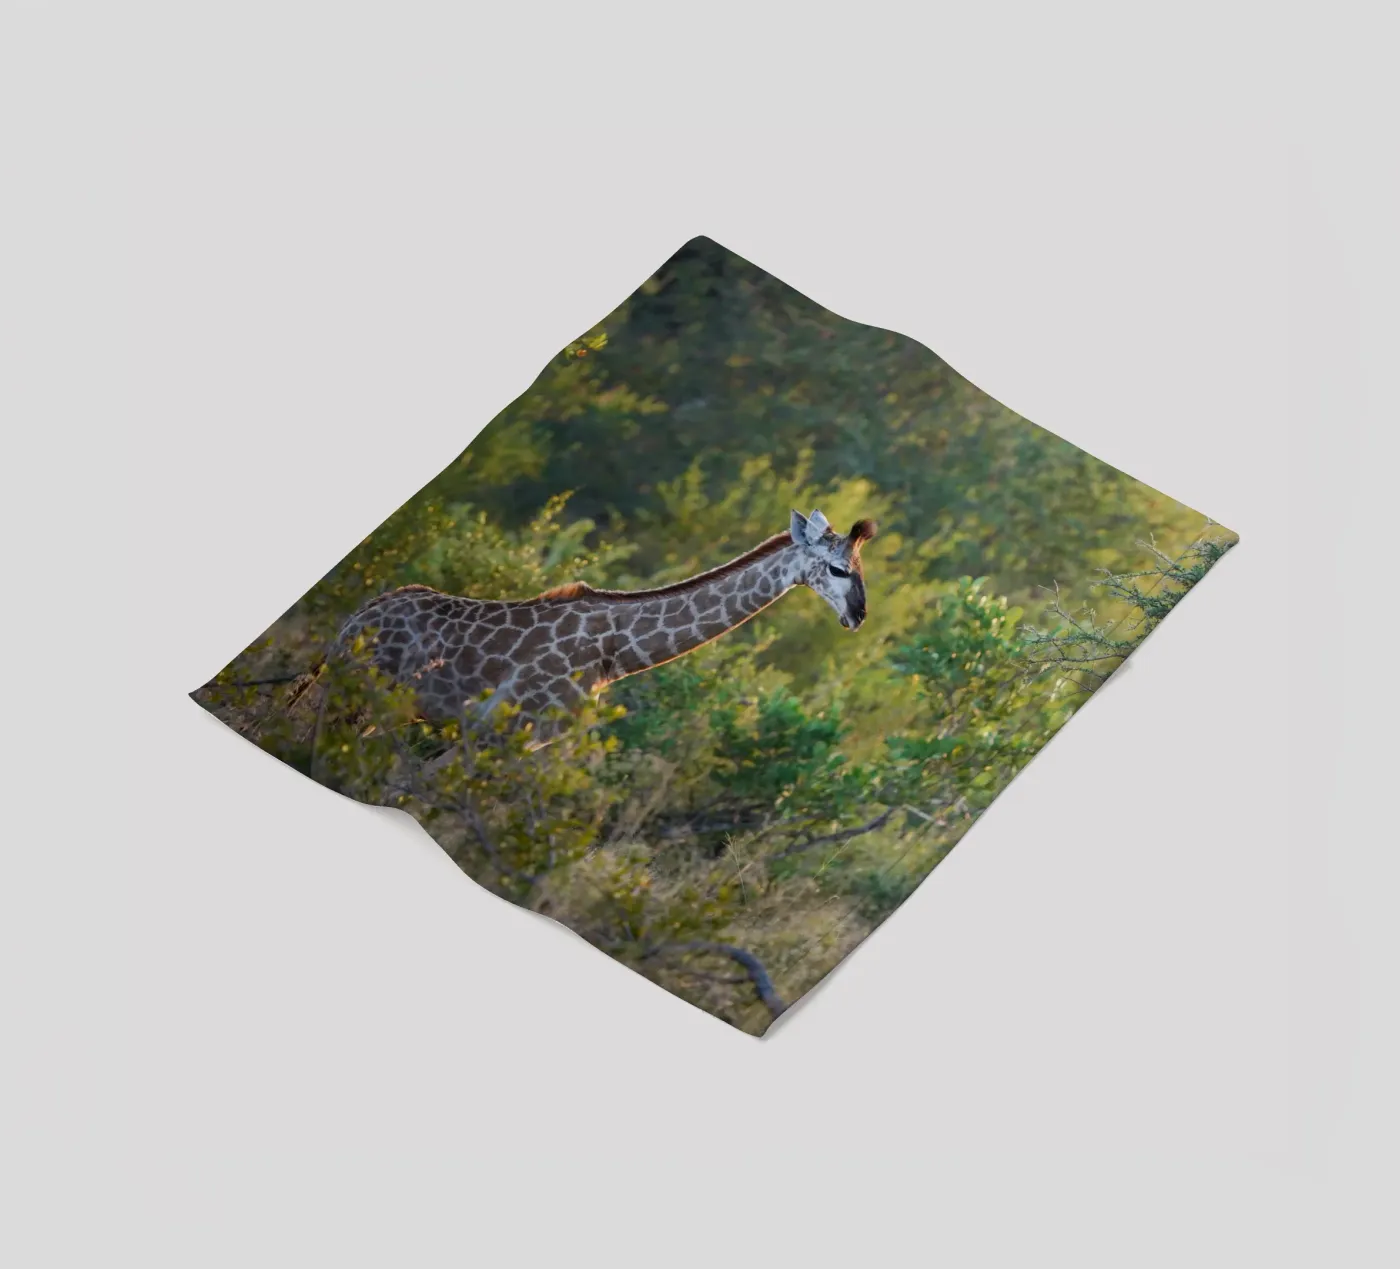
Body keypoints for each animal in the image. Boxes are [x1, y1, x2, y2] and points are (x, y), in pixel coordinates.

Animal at [326, 509, 877, 730]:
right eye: (837, 568)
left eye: (860, 567)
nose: (858, 615)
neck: (616, 652)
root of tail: (356, 618)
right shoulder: (504, 727)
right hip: (357, 696)